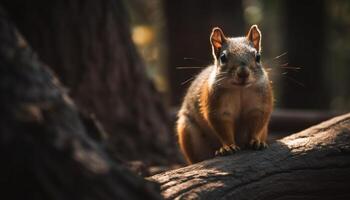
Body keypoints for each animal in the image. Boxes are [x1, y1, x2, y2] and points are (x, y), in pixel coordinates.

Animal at [178, 24, 274, 164]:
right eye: (223, 58)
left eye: (258, 57)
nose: (243, 73)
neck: (240, 89)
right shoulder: (217, 107)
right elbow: (223, 128)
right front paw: (228, 147)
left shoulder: (259, 104)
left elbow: (257, 123)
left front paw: (256, 141)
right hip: (188, 131)